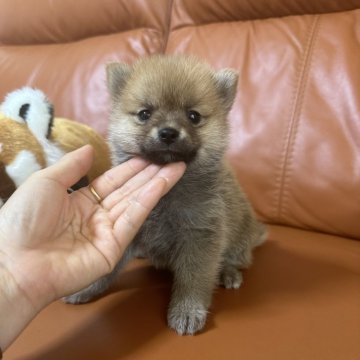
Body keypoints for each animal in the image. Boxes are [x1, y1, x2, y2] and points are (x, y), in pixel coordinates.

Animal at [65, 55, 268, 334]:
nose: (169, 132)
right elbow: (106, 269)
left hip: (238, 240)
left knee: (236, 259)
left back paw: (229, 273)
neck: (167, 196)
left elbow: (194, 278)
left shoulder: (201, 235)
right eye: (144, 114)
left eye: (193, 116)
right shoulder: (129, 230)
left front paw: (187, 310)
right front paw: (86, 287)